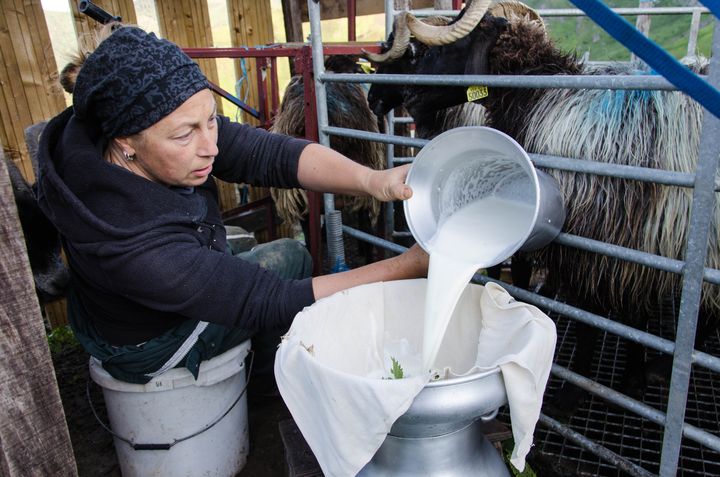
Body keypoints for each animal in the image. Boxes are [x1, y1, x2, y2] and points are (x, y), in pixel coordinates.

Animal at [368, 0, 716, 410]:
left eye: (434, 51)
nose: (376, 98)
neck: (538, 97)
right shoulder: (634, 243)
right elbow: (630, 315)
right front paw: (629, 379)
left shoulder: (599, 242)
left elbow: (591, 318)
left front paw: (578, 389)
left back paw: (664, 366)